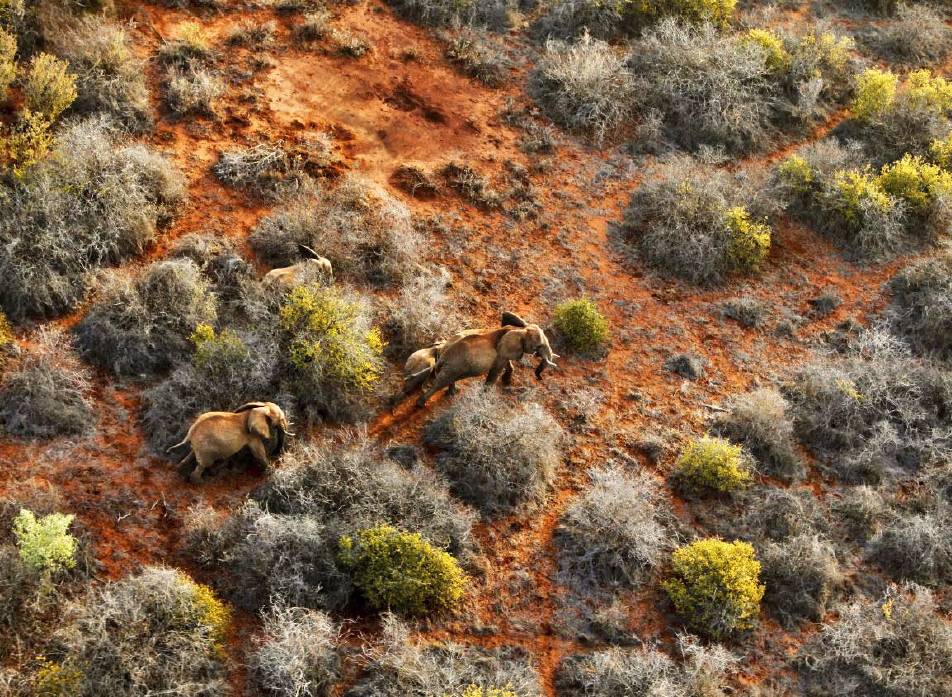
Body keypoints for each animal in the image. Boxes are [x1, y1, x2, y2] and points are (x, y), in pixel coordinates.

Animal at [415, 312, 558, 407]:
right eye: (538, 346)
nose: (540, 378)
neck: (521, 329)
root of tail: (442, 354)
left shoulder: (504, 351)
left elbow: (507, 363)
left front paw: (506, 381)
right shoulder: (501, 353)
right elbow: (495, 371)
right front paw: (485, 396)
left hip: (453, 366)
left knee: (448, 379)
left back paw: (452, 393)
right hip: (453, 365)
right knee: (440, 382)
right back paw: (420, 405)